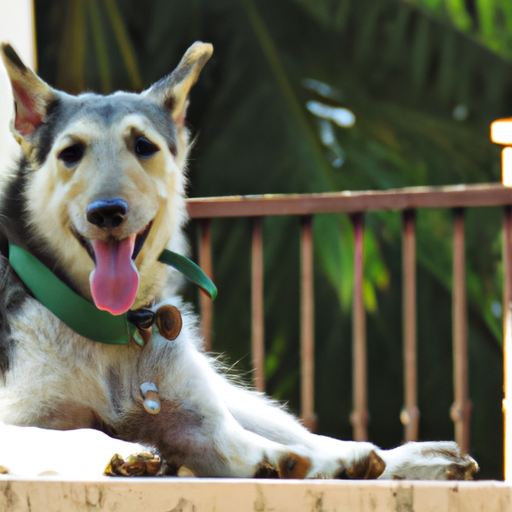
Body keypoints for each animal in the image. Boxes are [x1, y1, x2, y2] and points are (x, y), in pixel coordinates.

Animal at [0, 41, 480, 480]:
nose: (107, 212)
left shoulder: (200, 425)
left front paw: (310, 462)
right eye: (70, 153)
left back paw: (400, 459)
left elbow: (245, 443)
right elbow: (74, 433)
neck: (113, 329)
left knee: (305, 436)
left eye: (143, 146)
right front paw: (128, 452)